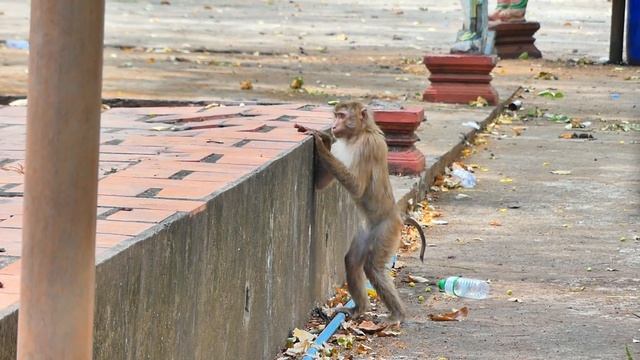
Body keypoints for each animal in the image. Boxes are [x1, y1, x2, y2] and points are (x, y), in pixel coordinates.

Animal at [296, 101, 424, 324]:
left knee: (373, 267)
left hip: (387, 231)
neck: (357, 135)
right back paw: (360, 308)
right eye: (336, 115)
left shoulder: (367, 147)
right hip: (366, 231)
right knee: (353, 261)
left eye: (341, 115)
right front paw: (326, 139)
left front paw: (320, 142)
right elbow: (321, 184)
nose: (334, 125)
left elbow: (357, 187)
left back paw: (397, 314)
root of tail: (398, 216)